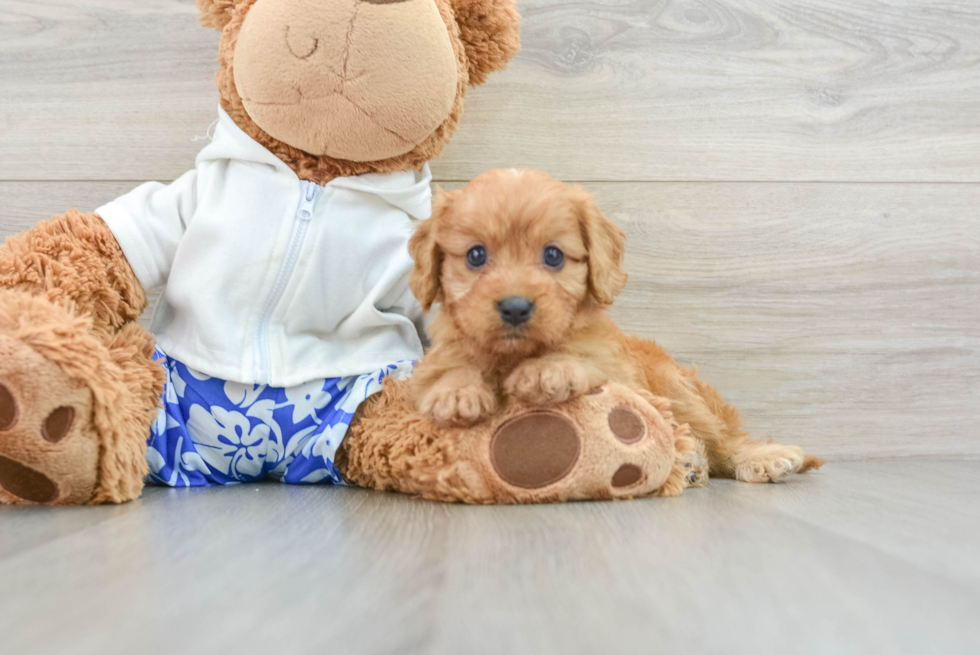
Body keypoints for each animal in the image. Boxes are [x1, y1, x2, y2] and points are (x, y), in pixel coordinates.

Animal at [408, 170, 828, 486]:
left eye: (553, 255)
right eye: (476, 255)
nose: (515, 307)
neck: (516, 354)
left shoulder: (614, 368)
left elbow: (581, 356)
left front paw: (547, 370)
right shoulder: (438, 355)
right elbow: (449, 366)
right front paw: (455, 391)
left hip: (679, 389)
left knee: (722, 439)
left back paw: (757, 458)